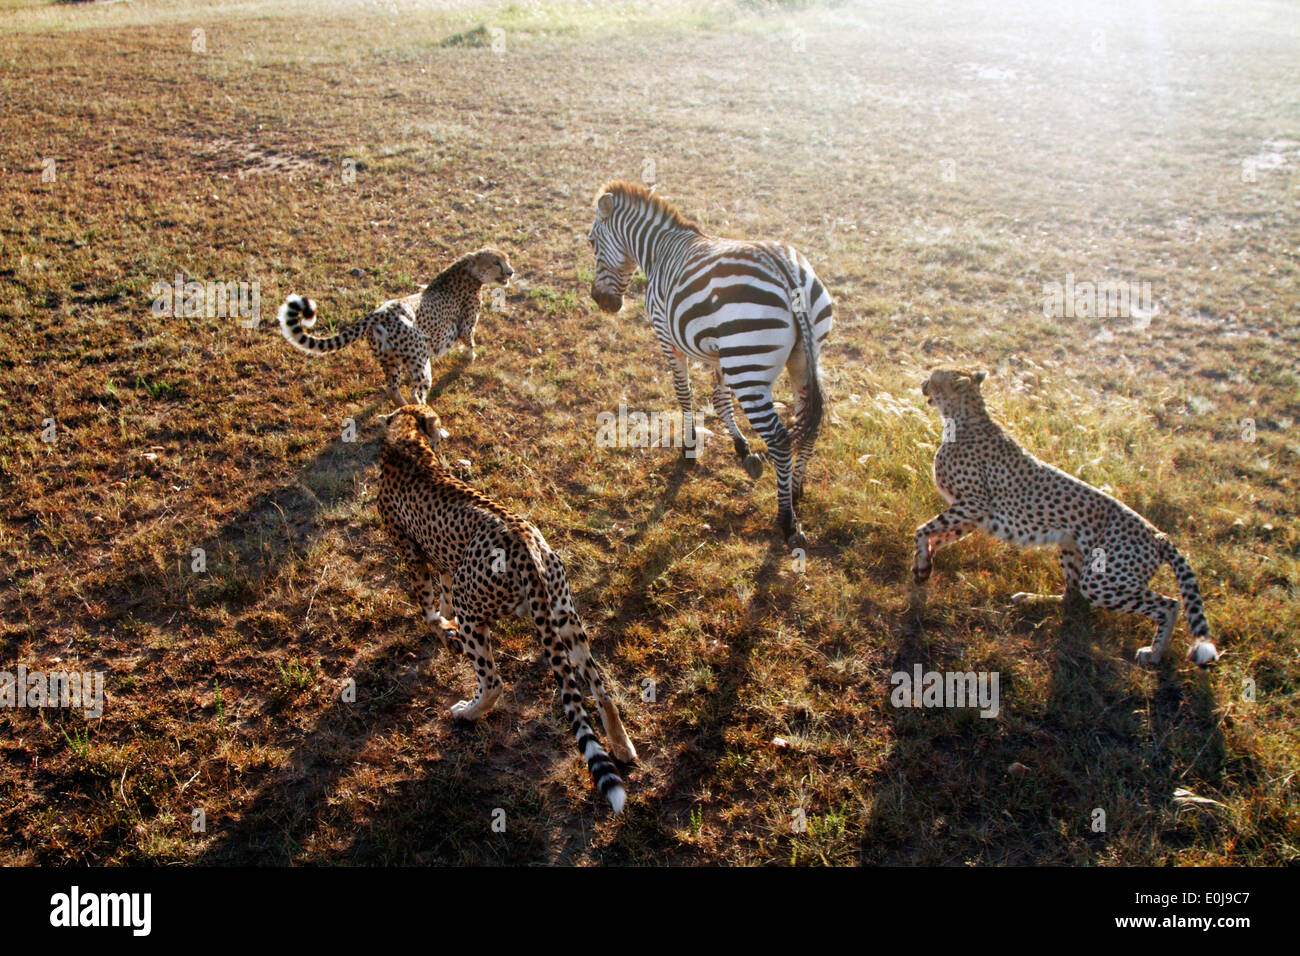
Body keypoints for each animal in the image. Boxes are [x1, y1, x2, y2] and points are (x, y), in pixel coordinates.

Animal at [277, 248, 513, 407]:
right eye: (496, 262)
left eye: (506, 260)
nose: (511, 272)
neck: (469, 273)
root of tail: (379, 312)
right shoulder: (465, 326)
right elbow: (470, 342)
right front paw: (470, 358)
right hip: (419, 359)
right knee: (417, 393)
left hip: (390, 360)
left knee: (392, 389)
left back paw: (404, 409)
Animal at [377, 403, 637, 812]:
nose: (445, 434)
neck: (406, 438)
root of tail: (524, 544)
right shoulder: (446, 562)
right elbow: (443, 590)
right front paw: (444, 620)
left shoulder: (413, 555)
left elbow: (427, 606)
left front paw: (441, 628)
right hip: (564, 616)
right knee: (599, 686)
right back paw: (622, 746)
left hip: (475, 610)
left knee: (494, 681)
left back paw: (467, 713)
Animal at [586, 181, 833, 548]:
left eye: (591, 243)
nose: (601, 302)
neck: (657, 250)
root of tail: (784, 269)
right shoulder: (720, 353)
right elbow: (719, 400)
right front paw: (742, 449)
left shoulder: (668, 338)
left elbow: (683, 392)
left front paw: (689, 446)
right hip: (802, 359)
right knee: (809, 425)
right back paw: (796, 490)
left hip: (748, 368)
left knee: (780, 439)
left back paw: (787, 520)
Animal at [913, 367, 1219, 669]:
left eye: (934, 375)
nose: (923, 382)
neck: (963, 417)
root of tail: (1158, 535)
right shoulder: (971, 513)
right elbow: (938, 535)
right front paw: (925, 565)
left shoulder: (974, 504)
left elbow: (922, 530)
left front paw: (921, 564)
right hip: (1072, 548)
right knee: (1072, 598)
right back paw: (1030, 599)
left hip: (1102, 580)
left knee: (1169, 604)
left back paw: (1154, 653)